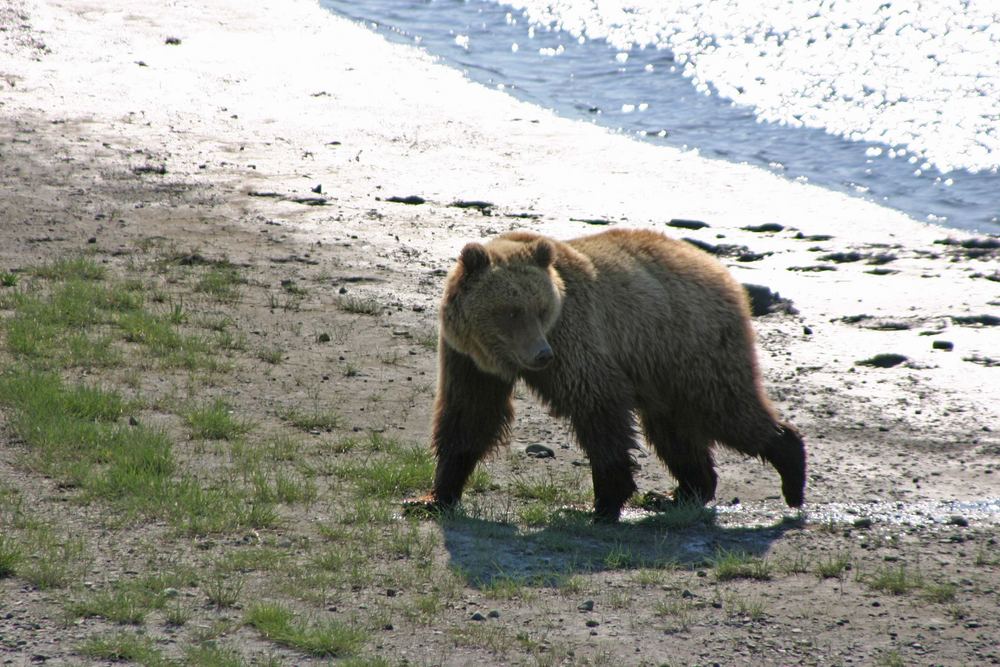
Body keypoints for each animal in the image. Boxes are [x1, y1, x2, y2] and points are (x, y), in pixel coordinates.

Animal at [414, 230, 804, 520]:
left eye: (540, 309)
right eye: (510, 312)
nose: (541, 354)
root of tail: (720, 270)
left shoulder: (574, 336)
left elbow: (598, 406)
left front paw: (602, 503)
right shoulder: (468, 358)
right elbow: (470, 414)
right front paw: (434, 497)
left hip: (690, 343)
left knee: (725, 409)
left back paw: (791, 472)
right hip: (663, 368)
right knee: (673, 430)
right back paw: (682, 492)